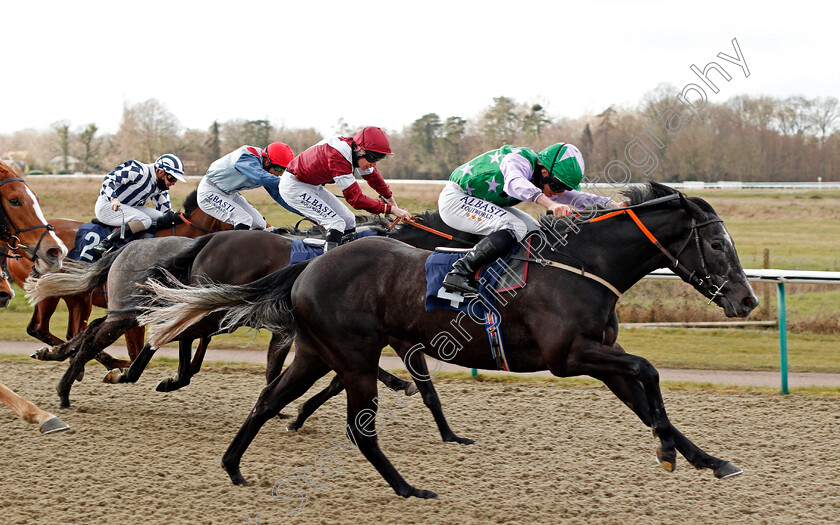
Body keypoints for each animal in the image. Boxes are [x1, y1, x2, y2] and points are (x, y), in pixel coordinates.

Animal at [139, 182, 760, 498]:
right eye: (717, 245)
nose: (747, 301)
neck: (582, 265)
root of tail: (312, 265)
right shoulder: (570, 357)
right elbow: (649, 371)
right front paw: (669, 452)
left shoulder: (600, 358)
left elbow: (647, 398)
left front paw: (706, 459)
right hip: (353, 355)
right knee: (356, 425)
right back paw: (409, 489)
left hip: (317, 352)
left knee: (269, 399)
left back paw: (233, 467)